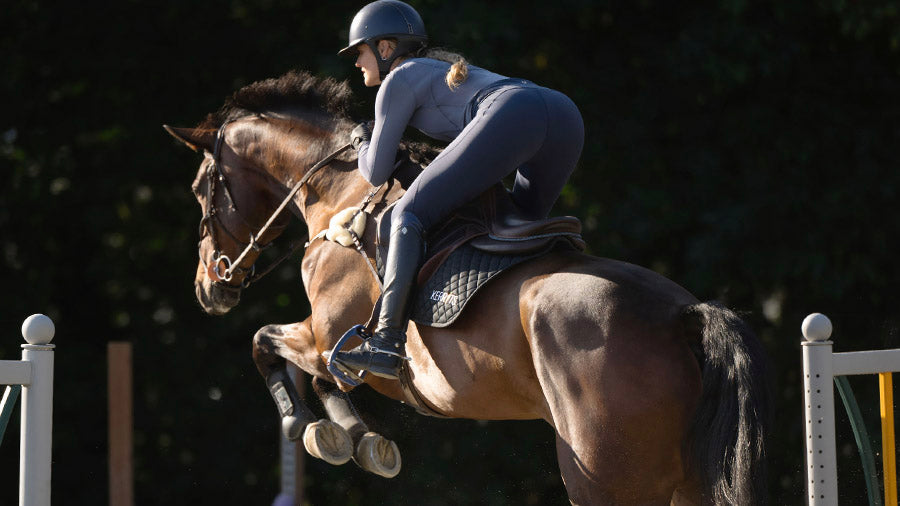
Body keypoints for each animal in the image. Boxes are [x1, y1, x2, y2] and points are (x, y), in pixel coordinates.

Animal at [165, 70, 771, 505]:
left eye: (199, 189)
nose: (207, 288)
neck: (338, 194)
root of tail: (685, 314)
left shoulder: (324, 336)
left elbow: (265, 343)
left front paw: (310, 428)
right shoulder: (328, 345)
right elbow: (310, 370)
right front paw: (355, 438)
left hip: (605, 475)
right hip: (687, 482)